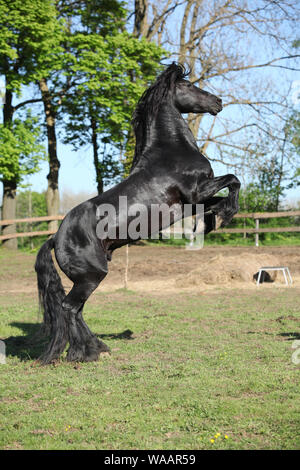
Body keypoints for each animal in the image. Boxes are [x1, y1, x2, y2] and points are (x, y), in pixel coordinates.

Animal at [35, 62, 240, 364]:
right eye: (189, 85)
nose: (218, 102)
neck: (171, 153)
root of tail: (55, 238)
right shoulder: (196, 192)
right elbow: (234, 180)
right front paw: (225, 216)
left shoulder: (193, 202)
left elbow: (219, 199)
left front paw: (209, 223)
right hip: (92, 276)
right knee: (69, 307)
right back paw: (85, 353)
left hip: (86, 279)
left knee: (76, 309)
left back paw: (98, 347)